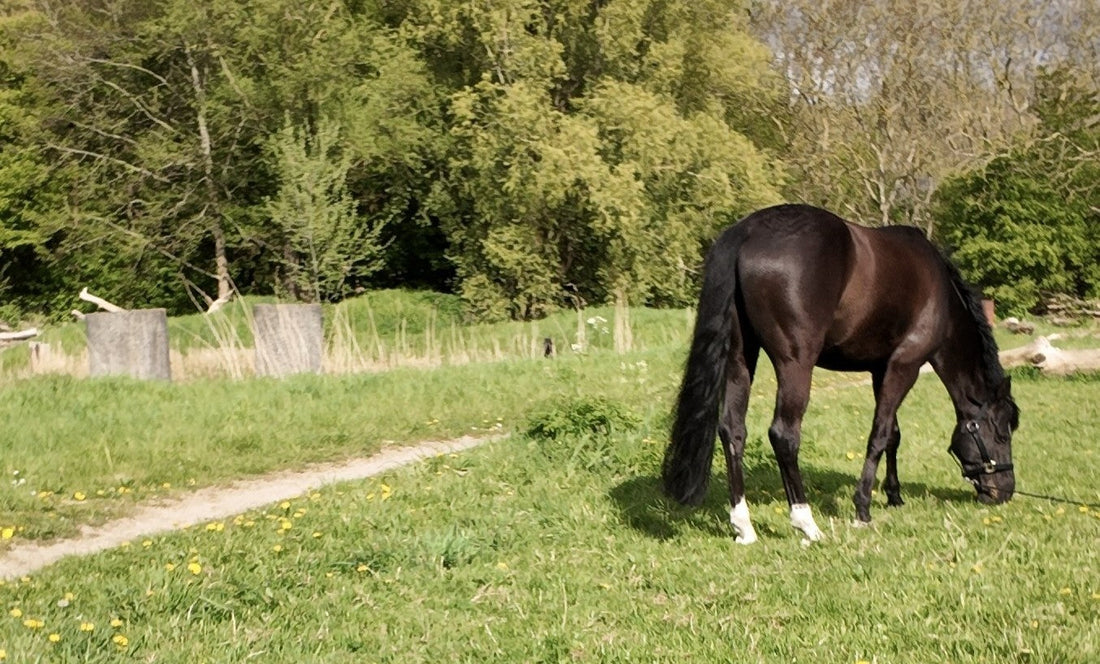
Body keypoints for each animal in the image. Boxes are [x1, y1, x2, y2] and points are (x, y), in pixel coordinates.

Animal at [663, 204, 1019, 543]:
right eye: (1003, 433)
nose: (1004, 491)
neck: (940, 295)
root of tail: (748, 231)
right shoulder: (905, 366)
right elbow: (879, 435)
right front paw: (862, 508)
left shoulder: (880, 369)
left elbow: (893, 434)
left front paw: (894, 495)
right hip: (795, 364)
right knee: (784, 435)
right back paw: (806, 523)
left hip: (739, 358)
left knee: (733, 430)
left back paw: (744, 525)